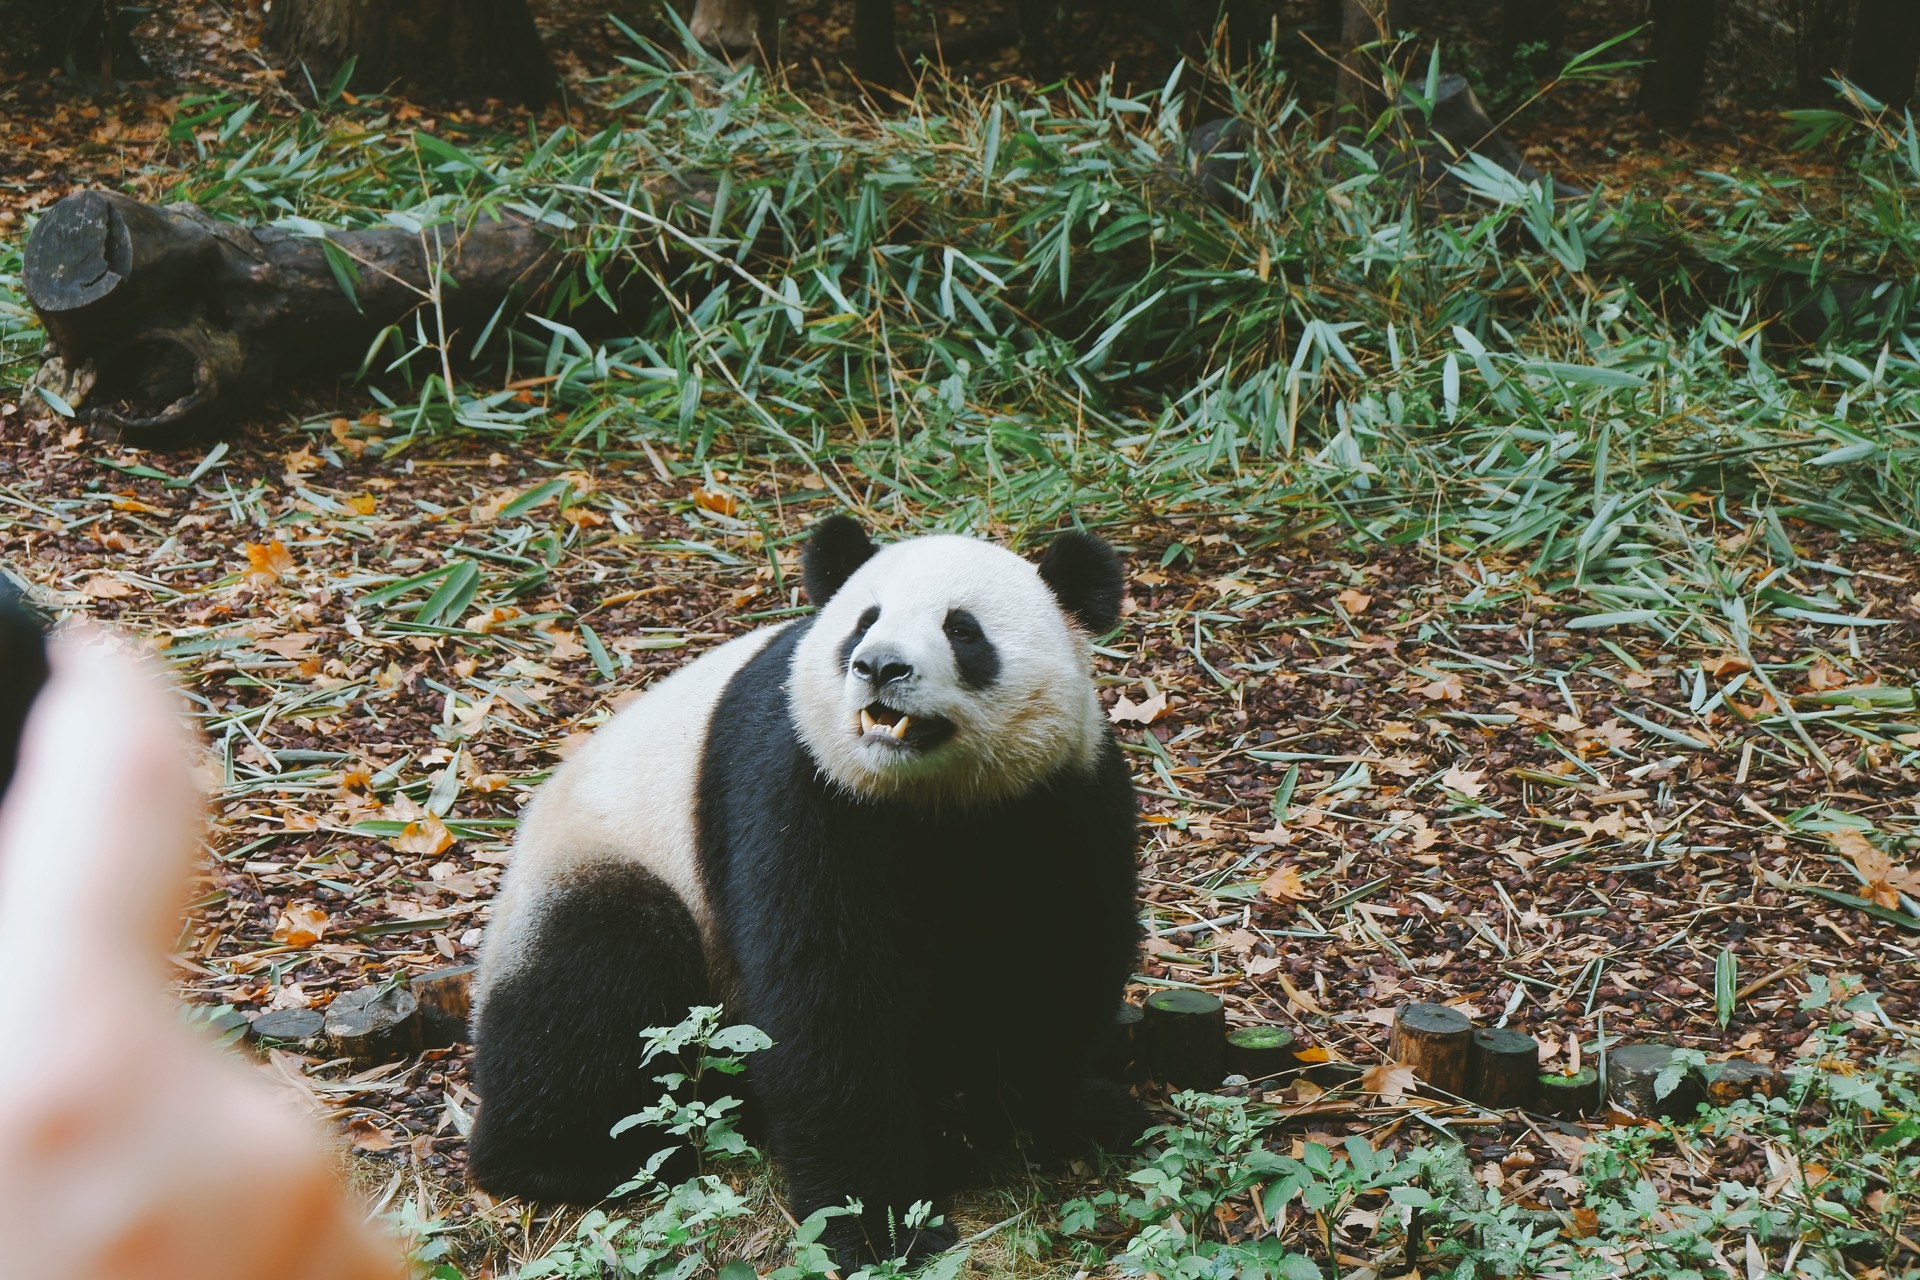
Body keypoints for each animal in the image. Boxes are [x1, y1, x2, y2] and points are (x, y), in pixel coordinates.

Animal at [468, 514, 1136, 1258]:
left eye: (963, 630)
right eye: (864, 621)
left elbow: (1057, 960)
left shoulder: (1057, 797)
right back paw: (575, 1160)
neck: (928, 797)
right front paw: (879, 1224)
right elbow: (823, 994)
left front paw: (1046, 1121)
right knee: (593, 980)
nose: (879, 667)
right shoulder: (801, 785)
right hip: (598, 867)